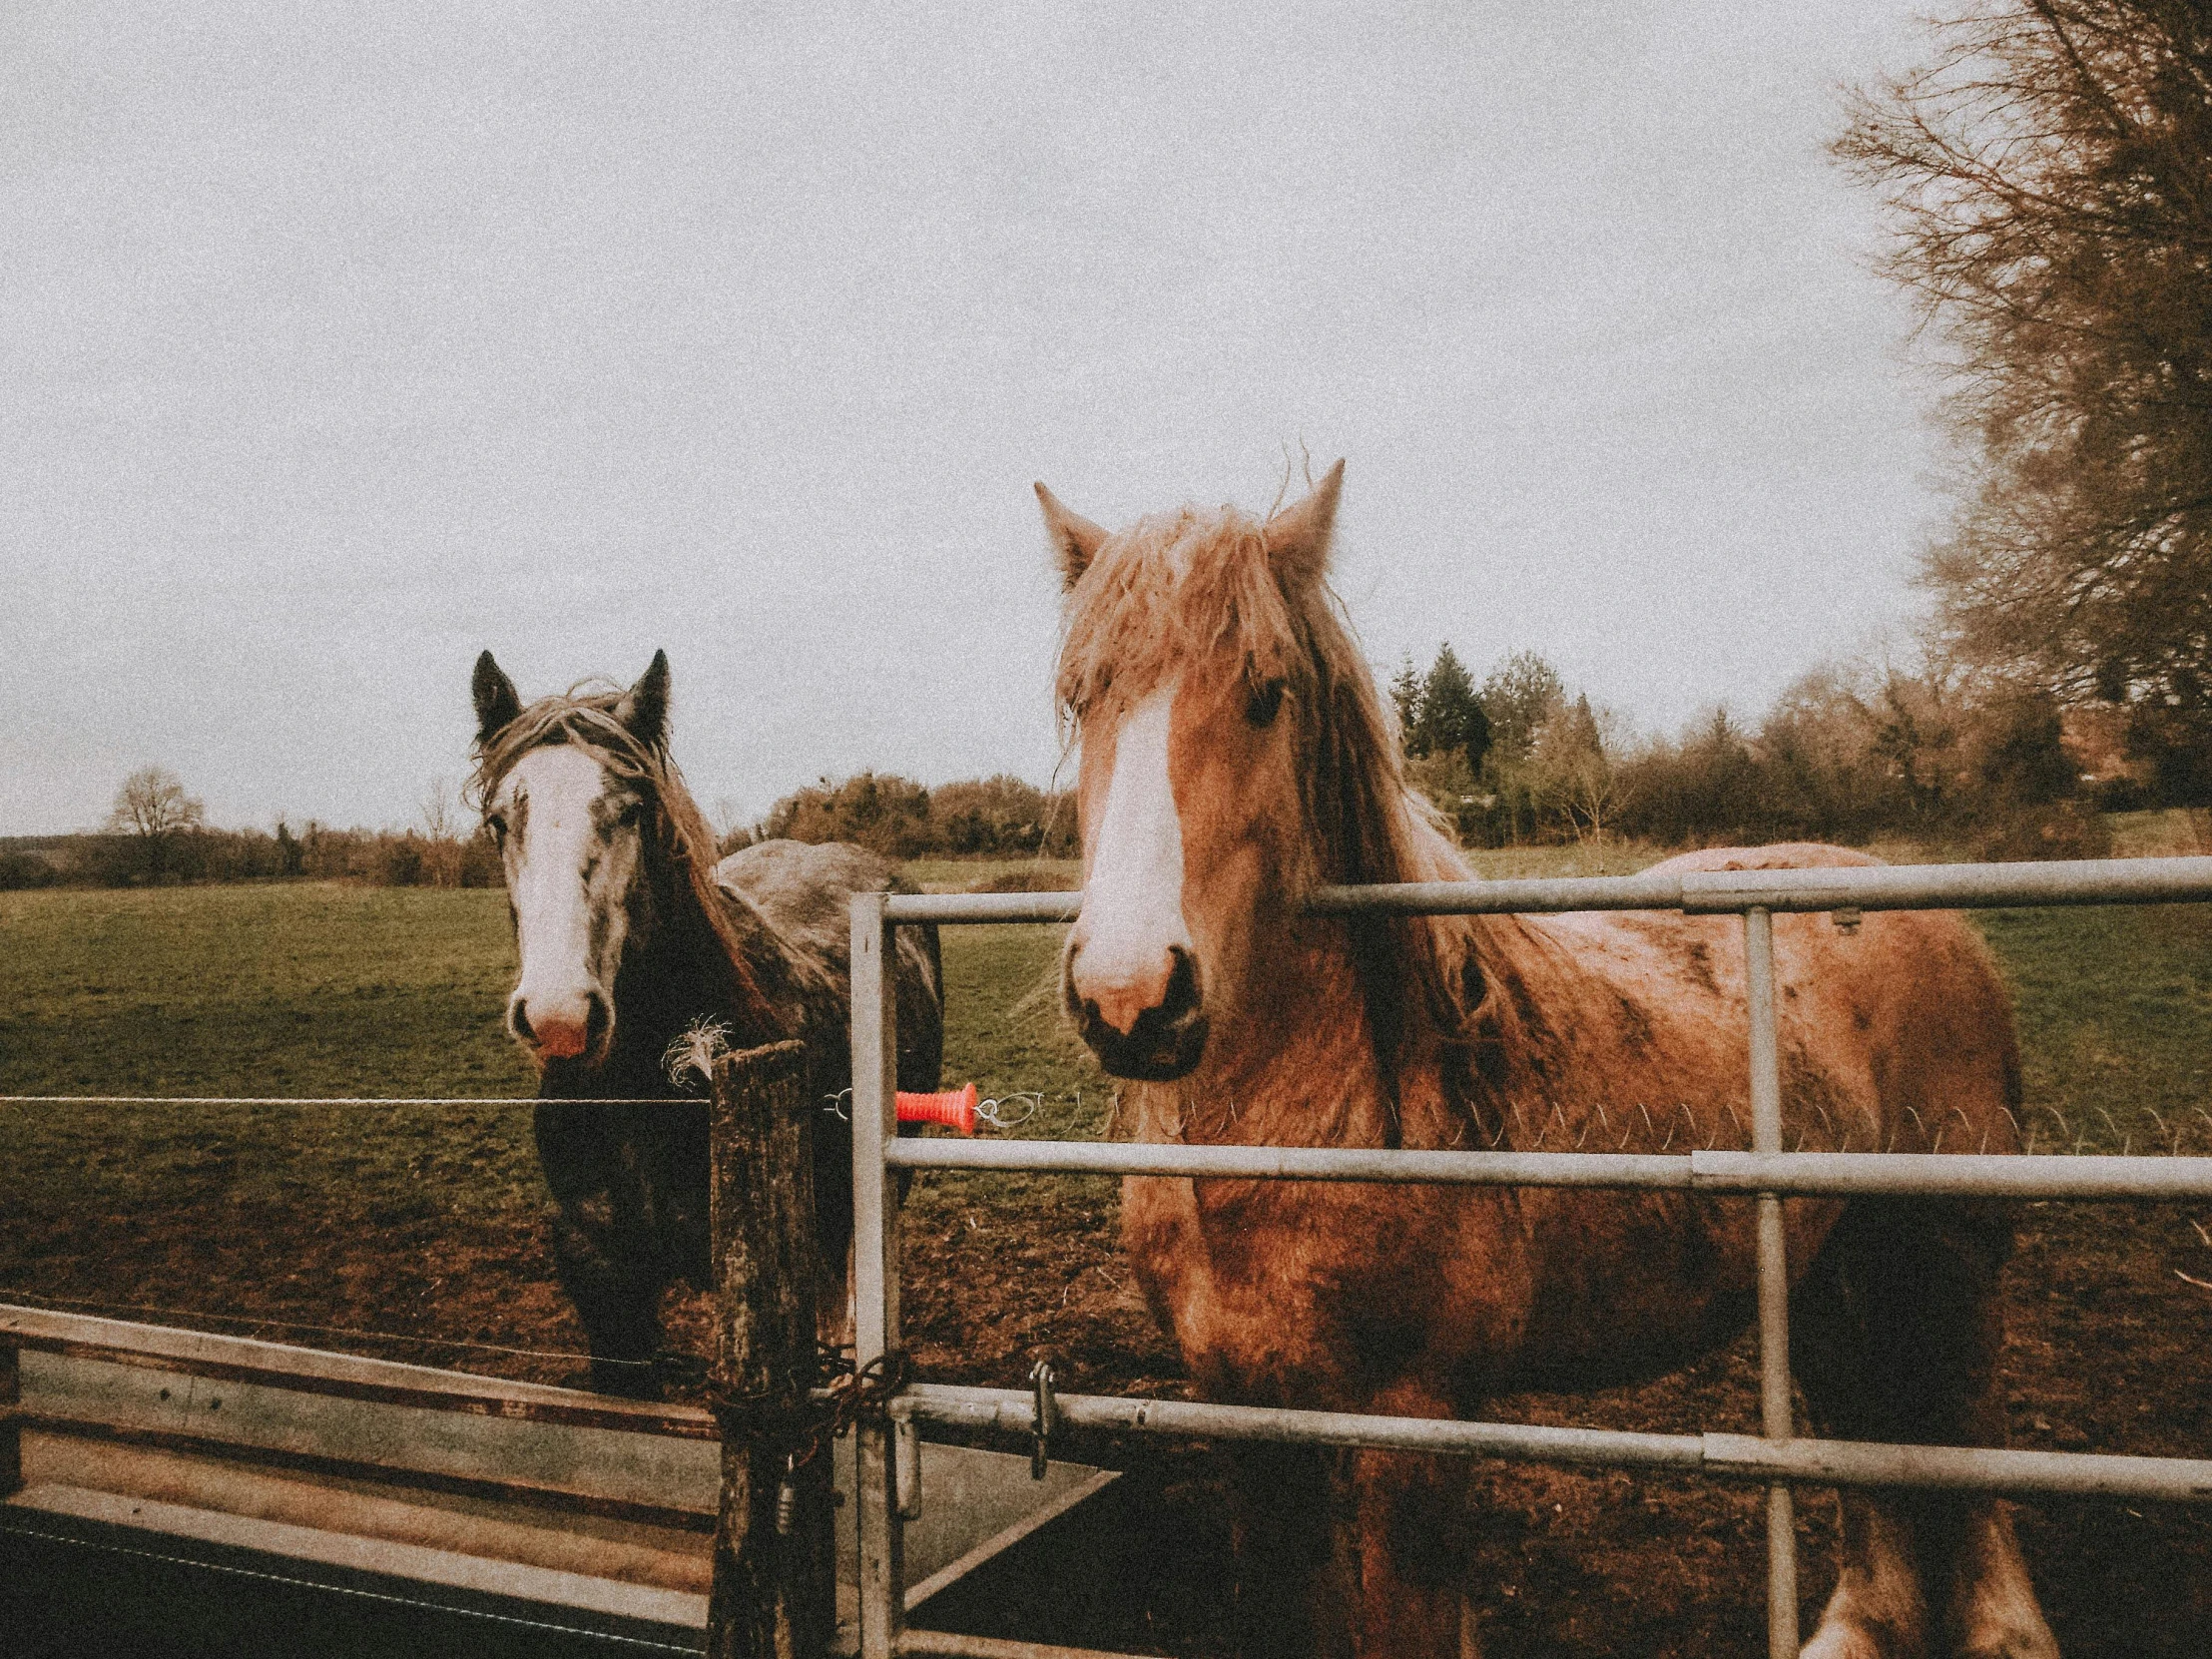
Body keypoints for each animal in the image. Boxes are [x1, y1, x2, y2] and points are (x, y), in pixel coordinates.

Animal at [1035, 471, 2052, 1659]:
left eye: (1267, 693)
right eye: (1081, 698)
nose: (1131, 996)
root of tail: (1940, 922)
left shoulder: (1415, 1426)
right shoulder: (1244, 1414)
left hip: (1948, 1272)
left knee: (1965, 1475)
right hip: (1831, 1274)